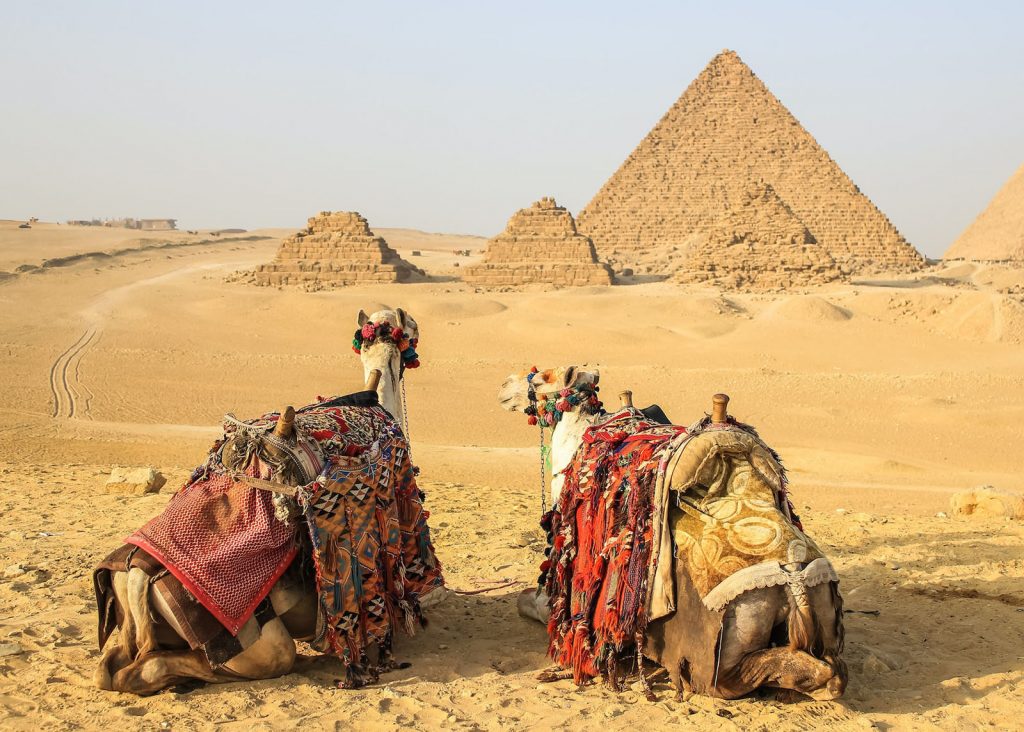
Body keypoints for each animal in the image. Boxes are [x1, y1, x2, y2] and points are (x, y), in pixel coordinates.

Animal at [497, 368, 847, 700]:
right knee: (831, 666)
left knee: (740, 677)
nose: (504, 387)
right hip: (823, 613)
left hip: (734, 635)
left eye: (541, 379)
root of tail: (794, 575)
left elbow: (532, 603)